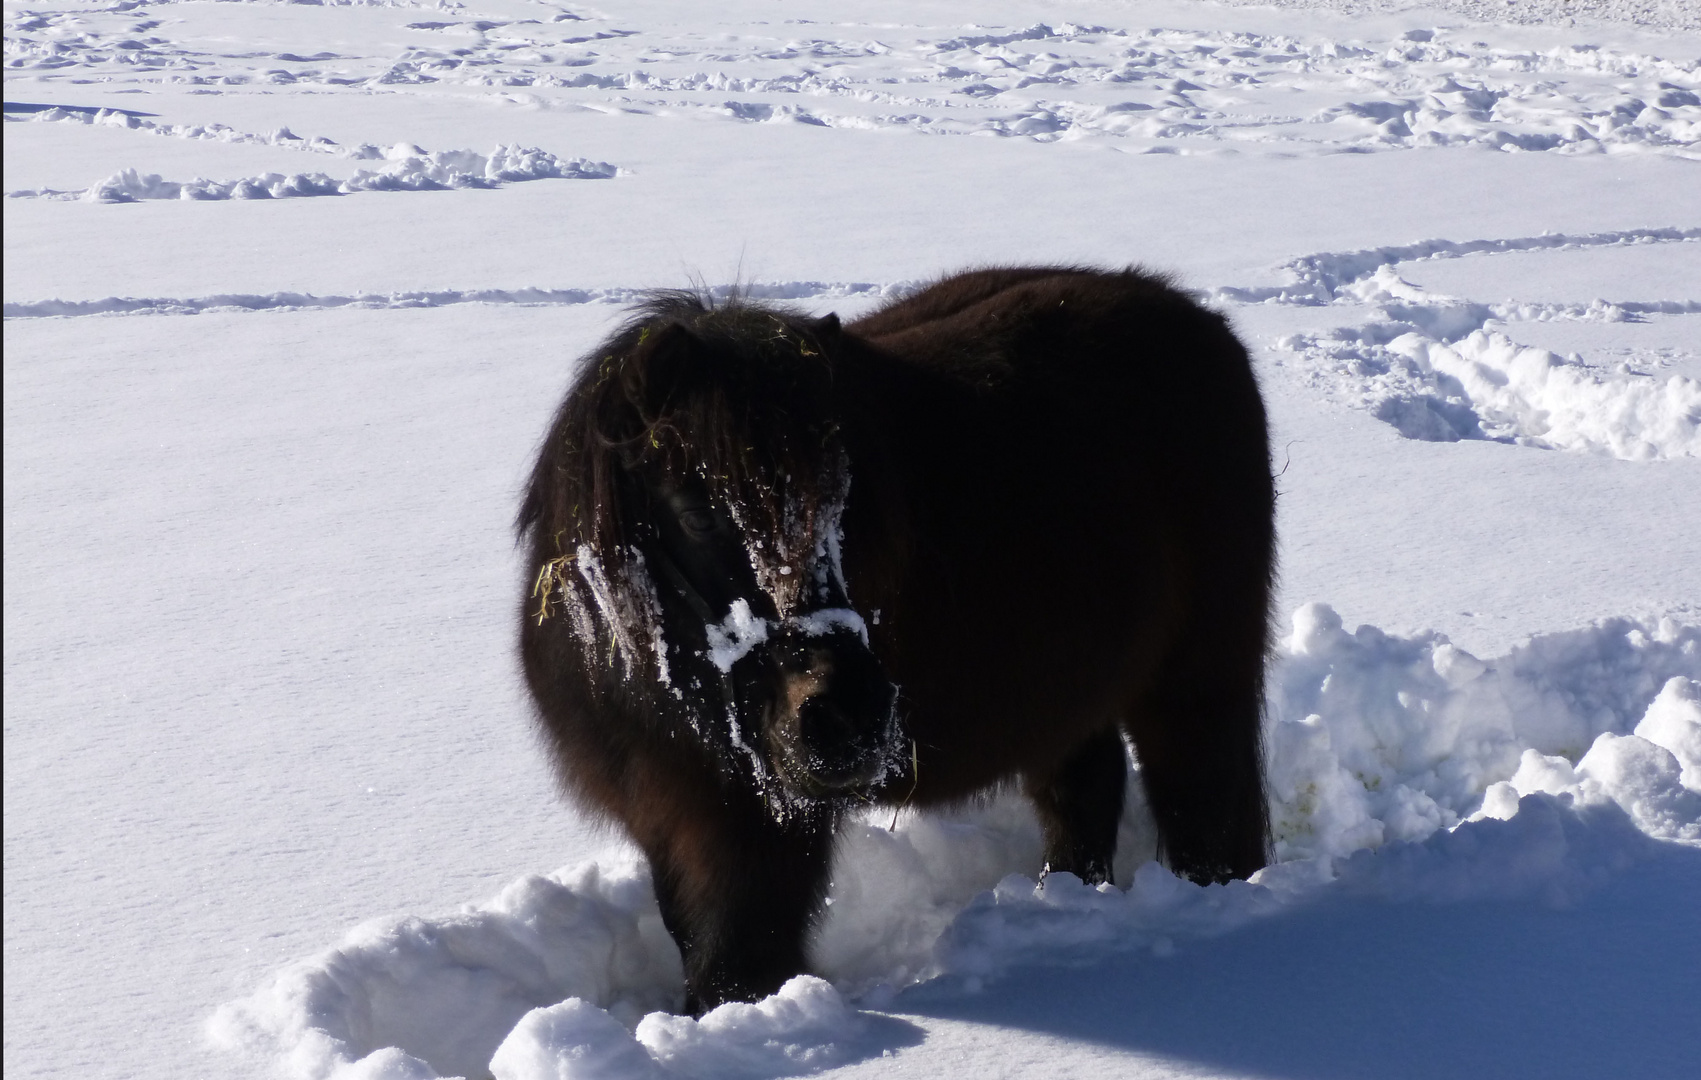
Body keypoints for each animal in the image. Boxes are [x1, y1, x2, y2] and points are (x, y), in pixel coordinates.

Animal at [517, 267, 1279, 1020]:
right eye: (696, 515)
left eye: (845, 505)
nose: (849, 716)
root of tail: (1201, 324)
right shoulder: (669, 814)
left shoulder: (760, 836)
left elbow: (737, 962)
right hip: (1069, 698)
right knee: (1084, 797)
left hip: (1194, 682)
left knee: (1202, 802)